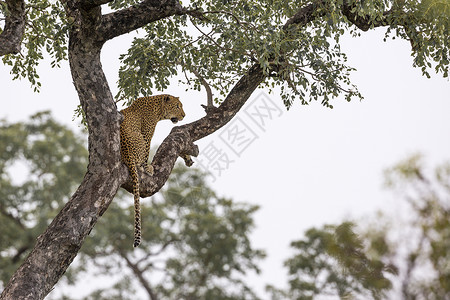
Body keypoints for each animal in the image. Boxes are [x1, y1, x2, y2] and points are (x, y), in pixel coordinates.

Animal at [118, 95, 185, 247]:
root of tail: (127, 155)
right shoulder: (146, 135)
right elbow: (147, 154)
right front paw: (147, 166)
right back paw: (147, 168)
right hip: (140, 139)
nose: (184, 115)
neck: (157, 107)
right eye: (177, 106)